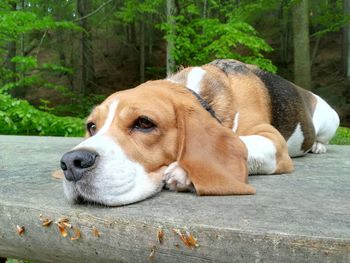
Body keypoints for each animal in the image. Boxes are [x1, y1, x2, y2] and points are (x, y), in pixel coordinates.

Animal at [59, 59, 340, 206]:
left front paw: (184, 171)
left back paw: (318, 146)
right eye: (92, 126)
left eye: (144, 123)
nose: (71, 162)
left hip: (331, 118)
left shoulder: (273, 142)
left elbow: (244, 144)